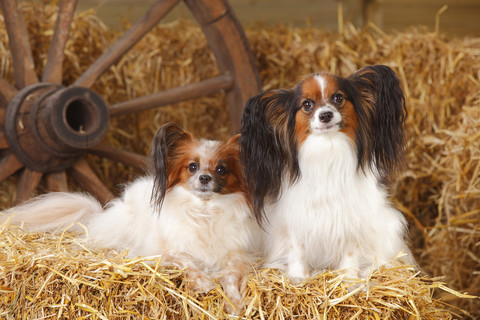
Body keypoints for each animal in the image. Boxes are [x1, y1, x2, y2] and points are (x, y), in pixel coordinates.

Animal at [2, 122, 258, 310]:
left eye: (221, 169)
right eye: (192, 167)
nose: (204, 178)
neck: (205, 212)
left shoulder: (234, 254)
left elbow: (231, 276)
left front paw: (235, 303)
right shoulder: (167, 251)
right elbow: (188, 264)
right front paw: (204, 283)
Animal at [242, 65, 414, 282]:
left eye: (338, 98)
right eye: (307, 104)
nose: (325, 115)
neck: (328, 147)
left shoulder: (352, 218)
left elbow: (350, 251)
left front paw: (349, 278)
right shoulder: (297, 218)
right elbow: (297, 249)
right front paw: (298, 278)